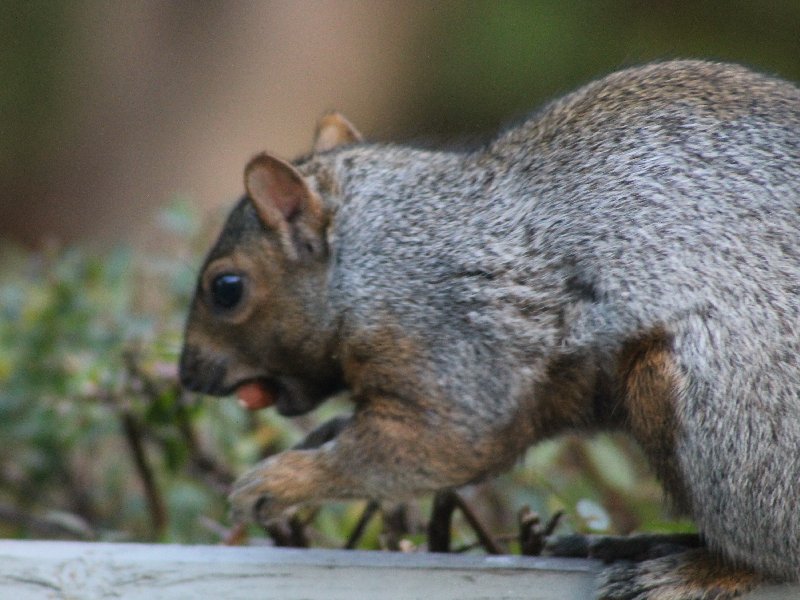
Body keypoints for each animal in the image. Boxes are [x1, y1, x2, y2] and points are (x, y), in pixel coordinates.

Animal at [181, 58, 800, 596]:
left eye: (226, 288)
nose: (188, 375)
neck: (372, 259)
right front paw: (315, 439)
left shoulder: (451, 343)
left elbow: (435, 445)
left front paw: (277, 481)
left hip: (730, 423)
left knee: (767, 549)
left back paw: (695, 568)